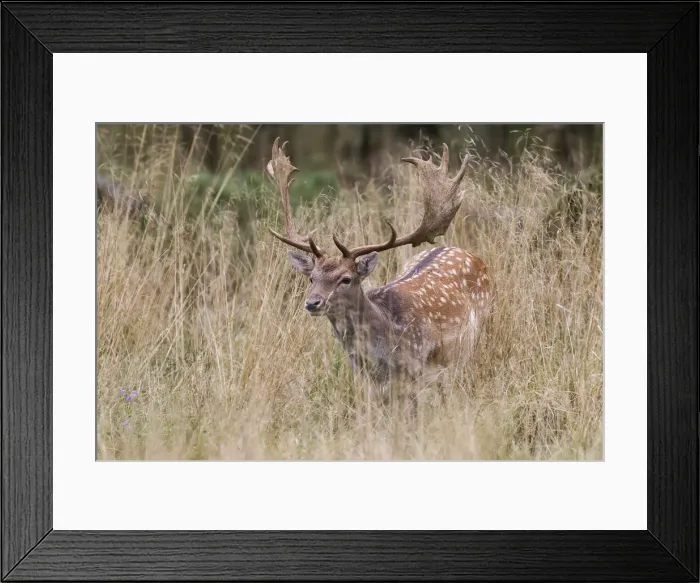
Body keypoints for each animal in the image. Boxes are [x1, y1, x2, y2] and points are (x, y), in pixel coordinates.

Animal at [266, 137, 493, 409]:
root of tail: (470, 254)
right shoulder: (367, 383)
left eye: (346, 279)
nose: (312, 303)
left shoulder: (413, 375)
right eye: (312, 278)